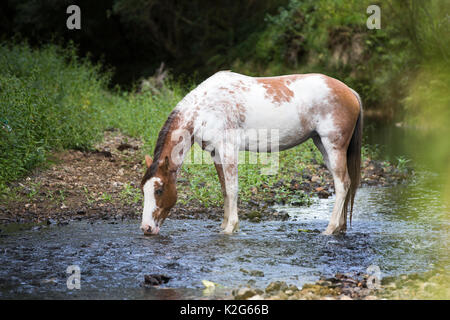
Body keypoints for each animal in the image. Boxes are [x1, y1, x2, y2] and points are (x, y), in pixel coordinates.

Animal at [141, 72, 362, 235]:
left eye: (159, 190)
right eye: (143, 190)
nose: (146, 228)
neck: (204, 109)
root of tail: (350, 91)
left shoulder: (228, 150)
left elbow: (232, 189)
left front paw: (231, 228)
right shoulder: (216, 153)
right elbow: (224, 189)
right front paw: (224, 225)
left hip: (333, 146)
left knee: (342, 184)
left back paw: (330, 229)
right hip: (322, 145)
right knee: (343, 183)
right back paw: (340, 228)